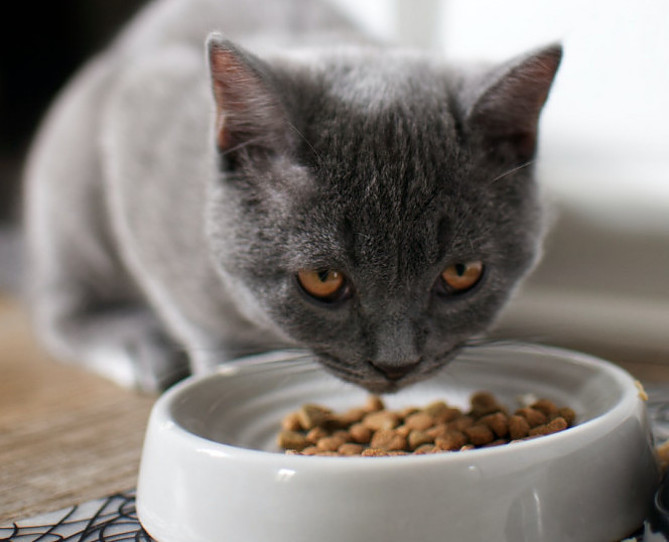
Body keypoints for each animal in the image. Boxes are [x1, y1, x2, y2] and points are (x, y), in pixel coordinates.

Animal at [23, 0, 560, 394]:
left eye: (461, 273)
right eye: (322, 279)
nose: (396, 365)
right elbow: (201, 321)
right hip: (71, 181)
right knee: (59, 308)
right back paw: (135, 346)